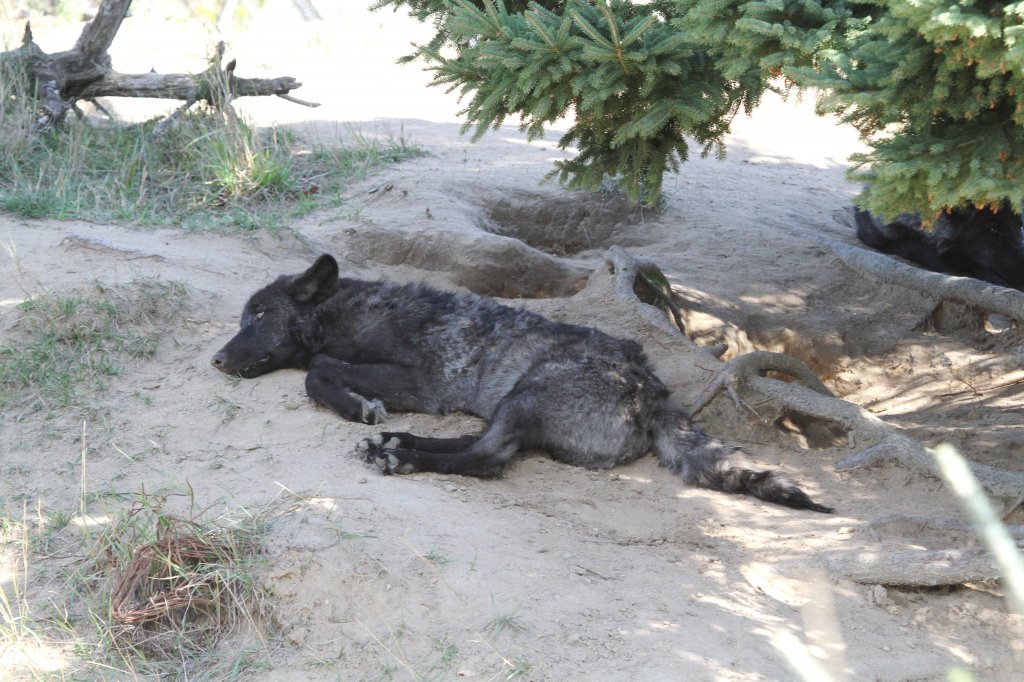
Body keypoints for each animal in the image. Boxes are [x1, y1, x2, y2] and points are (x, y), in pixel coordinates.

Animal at [209, 253, 831, 509]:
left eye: (258, 315)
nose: (215, 359)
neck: (350, 309)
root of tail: (654, 393)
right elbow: (317, 369)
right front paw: (367, 414)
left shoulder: (417, 379)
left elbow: (316, 372)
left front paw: (356, 405)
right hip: (513, 399)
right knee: (476, 442)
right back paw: (397, 443)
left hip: (528, 392)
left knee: (486, 456)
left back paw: (401, 455)